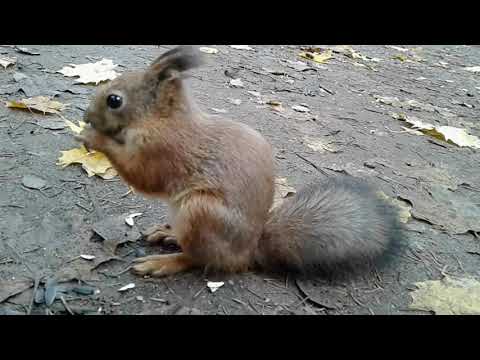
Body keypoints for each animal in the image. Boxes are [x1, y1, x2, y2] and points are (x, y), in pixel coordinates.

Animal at [76, 45, 404, 278]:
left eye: (114, 100)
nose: (86, 115)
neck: (161, 119)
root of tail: (249, 252)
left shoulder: (163, 151)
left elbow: (142, 175)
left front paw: (93, 137)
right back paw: (168, 233)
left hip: (200, 213)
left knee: (197, 259)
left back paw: (164, 262)